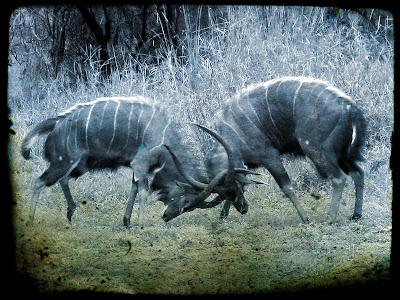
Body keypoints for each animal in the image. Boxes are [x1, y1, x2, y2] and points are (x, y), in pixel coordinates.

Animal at [21, 97, 256, 226]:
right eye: (186, 202)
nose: (166, 217)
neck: (163, 135)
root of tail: (55, 124)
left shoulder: (140, 168)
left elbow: (134, 188)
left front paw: (127, 222)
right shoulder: (140, 165)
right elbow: (143, 191)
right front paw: (141, 225)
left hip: (79, 165)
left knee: (63, 180)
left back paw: (71, 213)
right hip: (64, 162)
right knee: (39, 182)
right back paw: (31, 219)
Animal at [166, 77, 366, 223]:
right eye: (226, 193)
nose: (243, 209)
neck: (234, 129)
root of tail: (350, 107)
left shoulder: (270, 157)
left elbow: (286, 187)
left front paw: (306, 219)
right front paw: (222, 218)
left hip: (318, 152)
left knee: (339, 178)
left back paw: (330, 219)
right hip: (344, 155)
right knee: (358, 173)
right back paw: (356, 216)